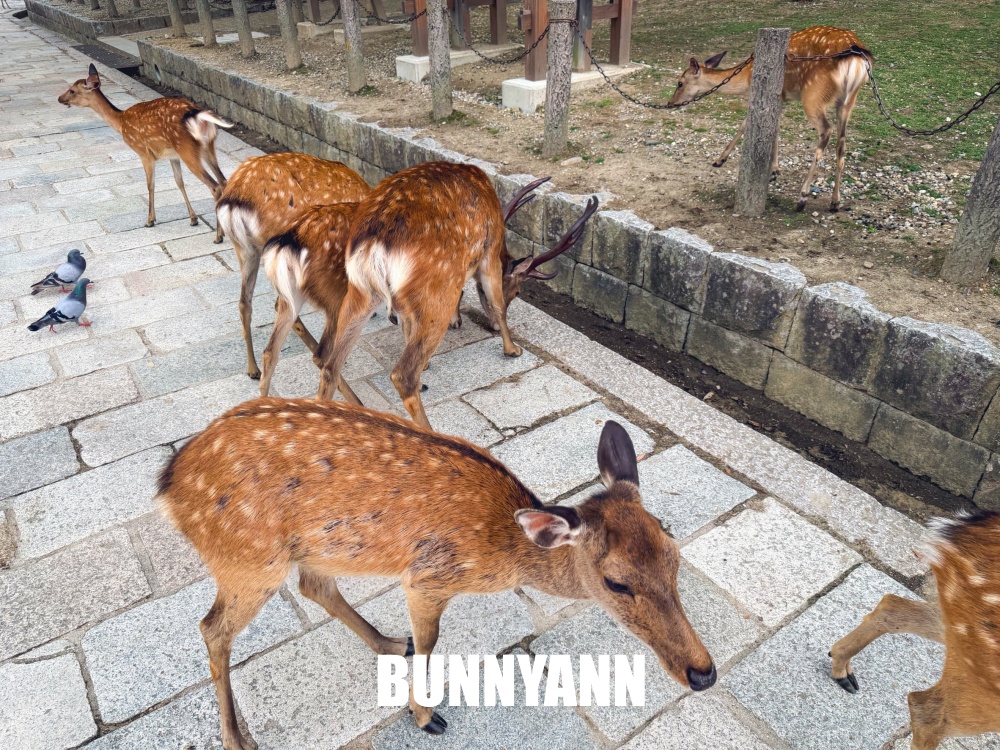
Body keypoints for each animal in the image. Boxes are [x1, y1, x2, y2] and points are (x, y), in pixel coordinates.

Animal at [57, 64, 233, 229]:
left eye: (72, 90)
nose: (59, 98)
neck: (120, 122)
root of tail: (197, 115)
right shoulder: (172, 155)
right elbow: (179, 182)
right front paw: (193, 218)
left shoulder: (144, 153)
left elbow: (150, 185)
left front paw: (150, 220)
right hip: (207, 147)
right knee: (223, 181)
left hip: (187, 148)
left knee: (215, 186)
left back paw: (219, 235)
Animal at [158, 401, 717, 748]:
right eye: (616, 582)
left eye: (674, 555)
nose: (704, 673)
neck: (501, 554)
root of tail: (168, 485)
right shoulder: (428, 575)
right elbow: (432, 643)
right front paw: (425, 715)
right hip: (249, 559)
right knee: (212, 627)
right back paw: (235, 739)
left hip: (311, 550)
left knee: (313, 586)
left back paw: (388, 642)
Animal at [315, 161, 597, 430]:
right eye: (517, 291)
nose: (494, 329)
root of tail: (374, 242)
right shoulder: (489, 253)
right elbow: (496, 303)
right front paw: (512, 349)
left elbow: (408, 322)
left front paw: (437, 348)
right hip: (437, 288)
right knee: (402, 375)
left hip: (360, 290)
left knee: (329, 363)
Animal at [668, 26, 873, 212]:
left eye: (680, 83)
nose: (670, 103)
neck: (746, 77)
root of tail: (857, 58)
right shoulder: (781, 96)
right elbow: (774, 126)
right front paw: (774, 170)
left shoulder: (773, 94)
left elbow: (748, 123)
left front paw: (720, 160)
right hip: (847, 101)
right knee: (842, 142)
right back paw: (834, 201)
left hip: (813, 95)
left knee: (826, 130)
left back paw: (802, 197)